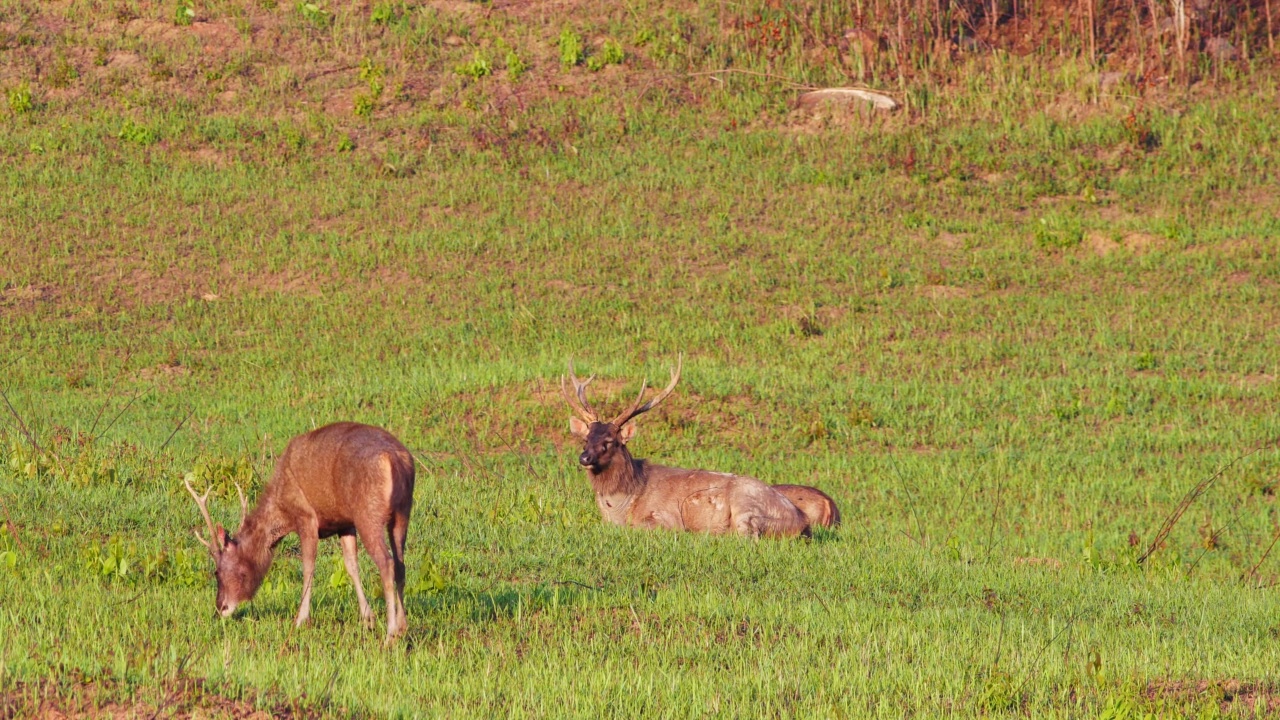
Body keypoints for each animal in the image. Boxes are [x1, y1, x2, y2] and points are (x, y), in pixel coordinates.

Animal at [186, 420, 414, 638]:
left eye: (216, 571)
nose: (220, 608)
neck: (283, 509)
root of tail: (396, 459)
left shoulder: (306, 517)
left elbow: (308, 567)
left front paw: (300, 620)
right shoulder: (344, 522)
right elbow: (351, 565)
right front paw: (368, 618)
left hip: (368, 513)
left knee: (387, 563)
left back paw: (390, 633)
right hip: (402, 511)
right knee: (401, 564)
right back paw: (403, 626)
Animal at [560, 358, 808, 538]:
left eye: (610, 441)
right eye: (585, 439)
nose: (584, 458)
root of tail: (802, 522)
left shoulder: (666, 517)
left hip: (746, 506)